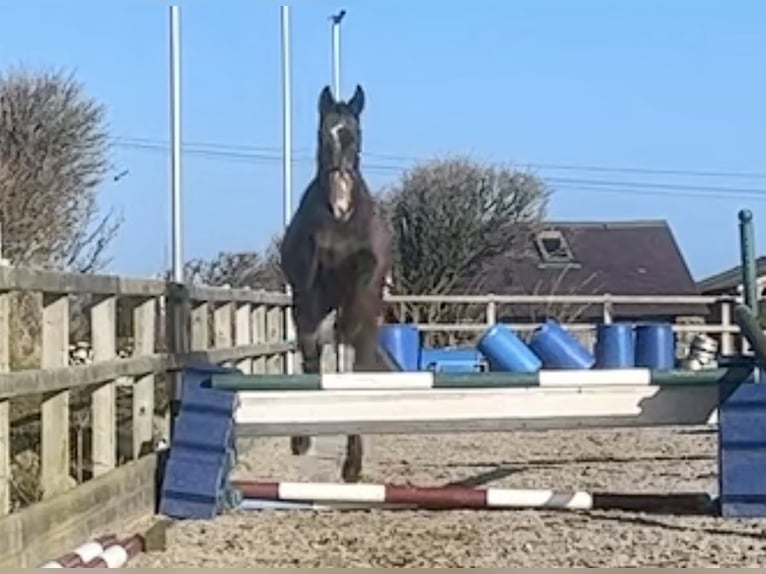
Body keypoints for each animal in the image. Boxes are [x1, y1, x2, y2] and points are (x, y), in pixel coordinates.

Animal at [280, 83, 392, 484]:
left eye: (355, 136)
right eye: (322, 135)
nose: (340, 205)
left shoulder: (367, 274)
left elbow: (361, 286)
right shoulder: (306, 284)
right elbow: (311, 341)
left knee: (357, 357)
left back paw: (352, 464)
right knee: (314, 352)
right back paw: (303, 439)